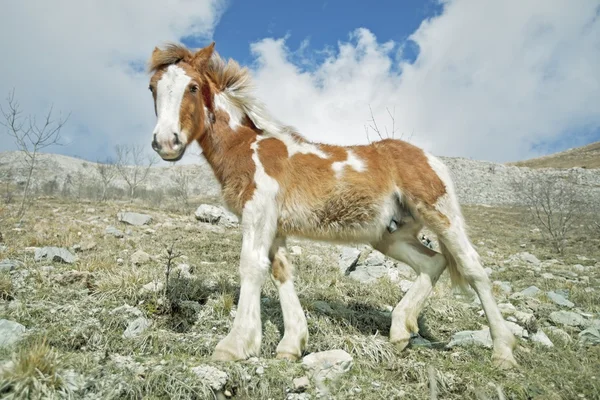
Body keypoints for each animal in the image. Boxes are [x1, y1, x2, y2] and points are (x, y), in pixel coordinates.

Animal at [148, 41, 516, 368]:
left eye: (193, 87)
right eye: (153, 88)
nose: (166, 142)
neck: (247, 148)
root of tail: (430, 158)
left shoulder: (257, 214)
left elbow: (251, 267)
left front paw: (235, 344)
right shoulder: (274, 225)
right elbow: (282, 272)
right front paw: (291, 344)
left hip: (441, 215)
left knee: (473, 268)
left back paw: (503, 351)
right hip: (389, 235)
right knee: (433, 262)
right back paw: (400, 329)